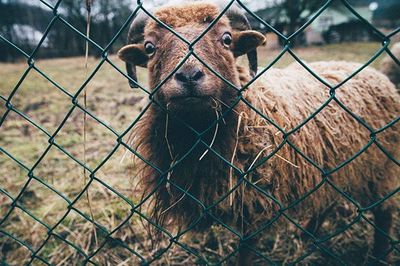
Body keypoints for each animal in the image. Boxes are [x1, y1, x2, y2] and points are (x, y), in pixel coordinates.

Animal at [117, 1, 398, 264]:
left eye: (227, 39)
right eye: (150, 47)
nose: (188, 76)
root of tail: (375, 74)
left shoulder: (255, 200)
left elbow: (245, 250)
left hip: (380, 168)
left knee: (384, 212)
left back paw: (379, 254)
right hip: (333, 166)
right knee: (327, 197)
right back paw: (309, 232)